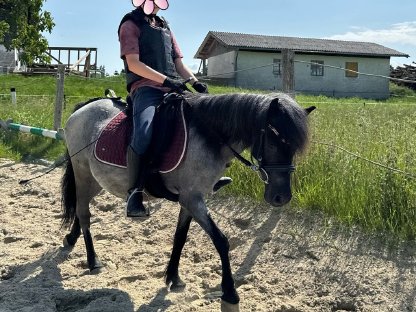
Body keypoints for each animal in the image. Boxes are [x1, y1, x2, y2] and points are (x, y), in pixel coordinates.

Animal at [61, 91, 316, 310]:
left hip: (96, 180)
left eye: (294, 148)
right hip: (82, 173)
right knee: (84, 212)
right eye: (273, 142)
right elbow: (221, 241)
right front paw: (230, 293)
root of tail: (83, 108)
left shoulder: (189, 198)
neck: (208, 136)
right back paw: (93, 260)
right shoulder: (193, 199)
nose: (281, 197)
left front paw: (173, 277)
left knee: (81, 206)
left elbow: (180, 237)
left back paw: (71, 238)